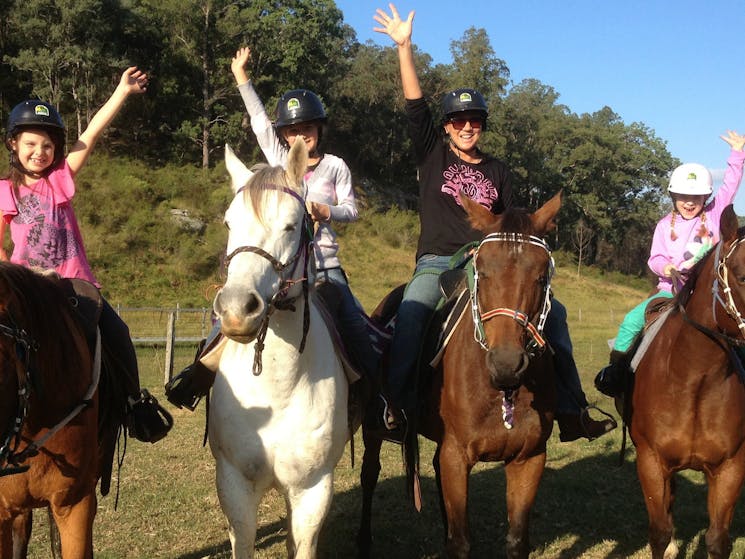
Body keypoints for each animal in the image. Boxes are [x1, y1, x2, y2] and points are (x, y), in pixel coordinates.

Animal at [209, 141, 348, 559]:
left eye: (290, 225)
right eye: (229, 224)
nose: (237, 309)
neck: (278, 388)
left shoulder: (312, 490)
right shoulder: (234, 485)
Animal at [358, 194, 560, 559]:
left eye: (541, 277)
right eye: (482, 272)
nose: (506, 363)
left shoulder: (529, 458)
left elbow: (516, 540)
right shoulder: (456, 455)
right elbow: (460, 542)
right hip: (373, 426)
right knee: (369, 474)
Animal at [632, 203, 744, 556]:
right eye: (742, 275)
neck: (695, 380)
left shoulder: (730, 468)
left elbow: (717, 539)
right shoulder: (651, 462)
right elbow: (659, 533)